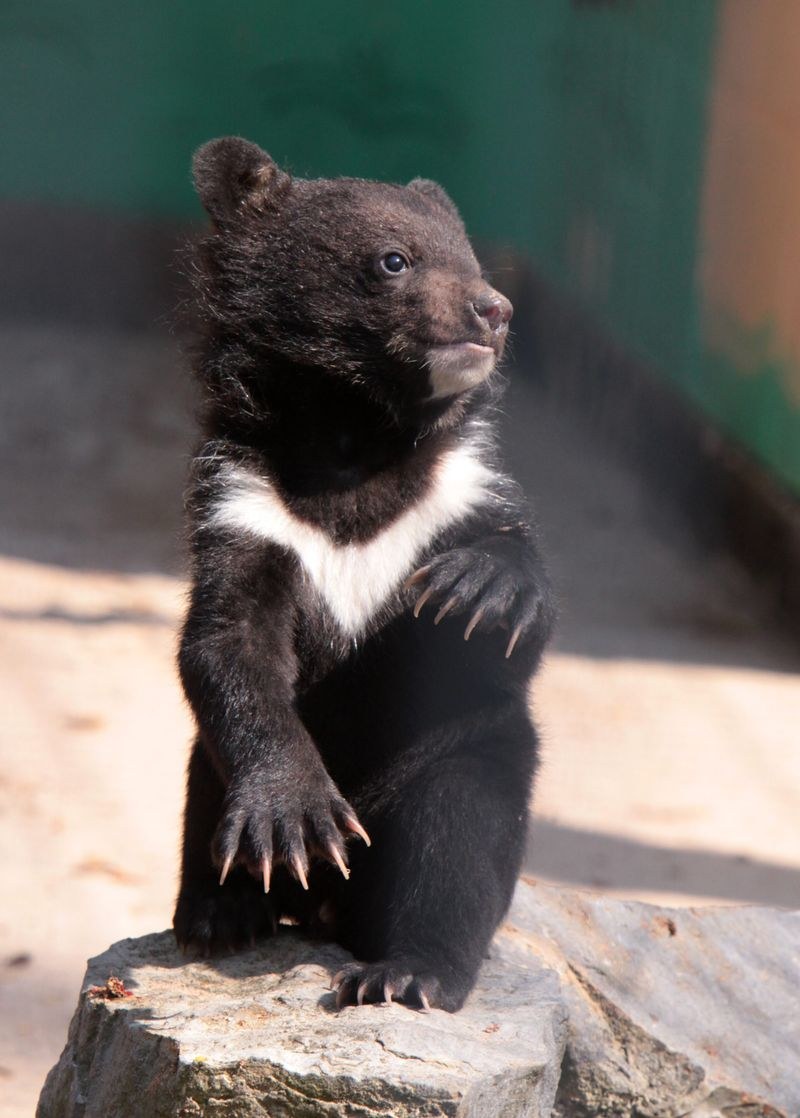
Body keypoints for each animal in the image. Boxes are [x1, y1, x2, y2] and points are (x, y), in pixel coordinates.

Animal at [173, 136, 555, 1012]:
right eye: (394, 260)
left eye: (470, 258)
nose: (494, 310)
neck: (356, 438)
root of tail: (329, 909)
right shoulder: (244, 505)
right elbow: (228, 646)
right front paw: (296, 822)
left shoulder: (460, 491)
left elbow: (518, 608)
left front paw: (478, 587)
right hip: (205, 766)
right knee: (204, 800)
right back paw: (222, 913)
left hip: (471, 756)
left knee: (453, 846)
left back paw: (405, 973)